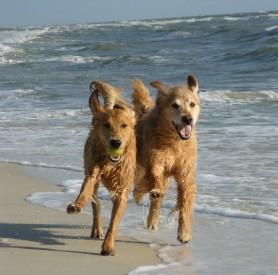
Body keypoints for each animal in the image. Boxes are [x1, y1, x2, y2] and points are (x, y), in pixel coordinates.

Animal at [66, 81, 136, 256]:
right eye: (107, 125)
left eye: (124, 125)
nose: (116, 142)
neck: (110, 164)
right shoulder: (91, 173)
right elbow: (85, 191)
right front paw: (76, 205)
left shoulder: (122, 191)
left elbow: (114, 222)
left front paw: (108, 246)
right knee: (95, 203)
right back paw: (96, 229)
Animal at [132, 75, 200, 244]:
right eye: (175, 105)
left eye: (192, 104)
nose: (188, 119)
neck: (175, 141)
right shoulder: (155, 160)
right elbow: (155, 174)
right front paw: (153, 189)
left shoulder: (185, 173)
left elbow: (185, 202)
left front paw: (184, 233)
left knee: (155, 205)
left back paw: (151, 223)